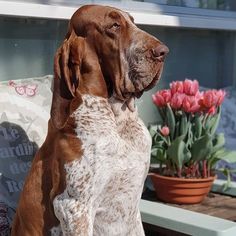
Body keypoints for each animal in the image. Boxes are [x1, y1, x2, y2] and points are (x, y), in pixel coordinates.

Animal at [11, 4, 169, 236]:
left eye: (133, 22)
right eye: (114, 25)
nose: (163, 52)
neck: (118, 120)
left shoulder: (132, 208)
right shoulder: (74, 206)